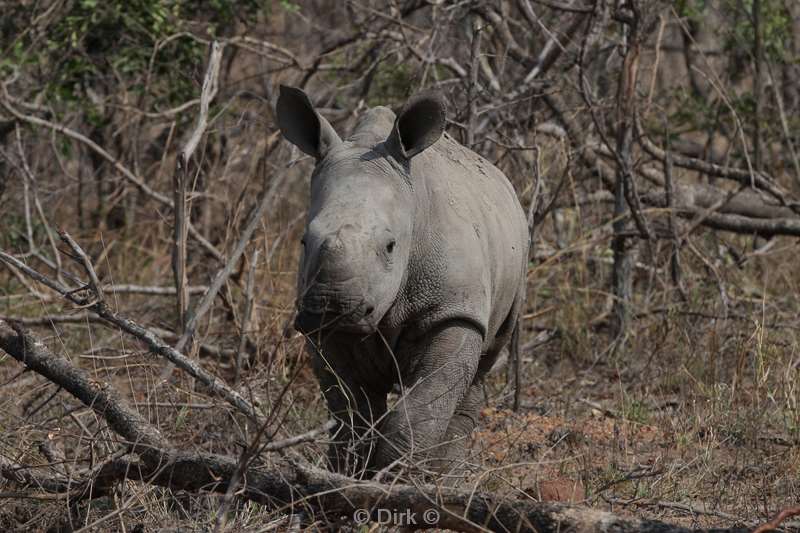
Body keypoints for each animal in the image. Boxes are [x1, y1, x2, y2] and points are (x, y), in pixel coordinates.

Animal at [278, 86, 528, 474]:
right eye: (304, 242)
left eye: (390, 246)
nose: (332, 306)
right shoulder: (321, 330)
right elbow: (351, 410)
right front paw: (348, 475)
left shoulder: (453, 311)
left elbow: (424, 407)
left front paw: (395, 476)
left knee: (482, 365)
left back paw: (445, 477)